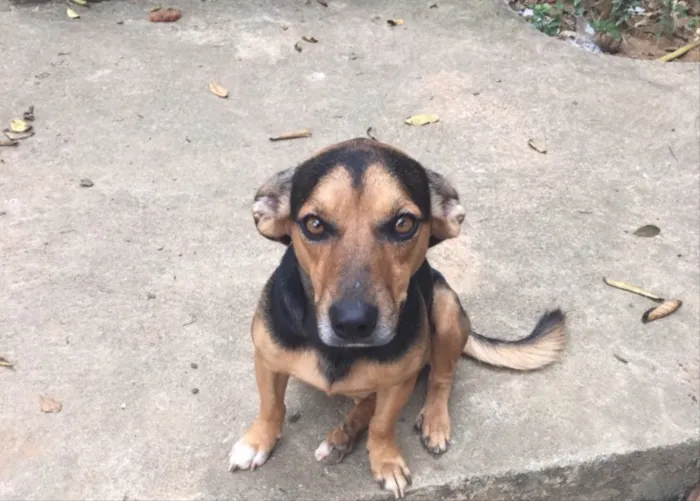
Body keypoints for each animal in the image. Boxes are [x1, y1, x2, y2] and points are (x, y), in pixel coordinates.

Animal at [230, 136, 568, 496]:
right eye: (314, 224)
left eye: (403, 224)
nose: (353, 322)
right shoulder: (267, 359)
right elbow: (271, 406)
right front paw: (257, 441)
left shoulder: (399, 382)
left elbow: (382, 423)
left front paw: (386, 461)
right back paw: (342, 437)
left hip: (447, 311)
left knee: (441, 376)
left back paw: (432, 421)